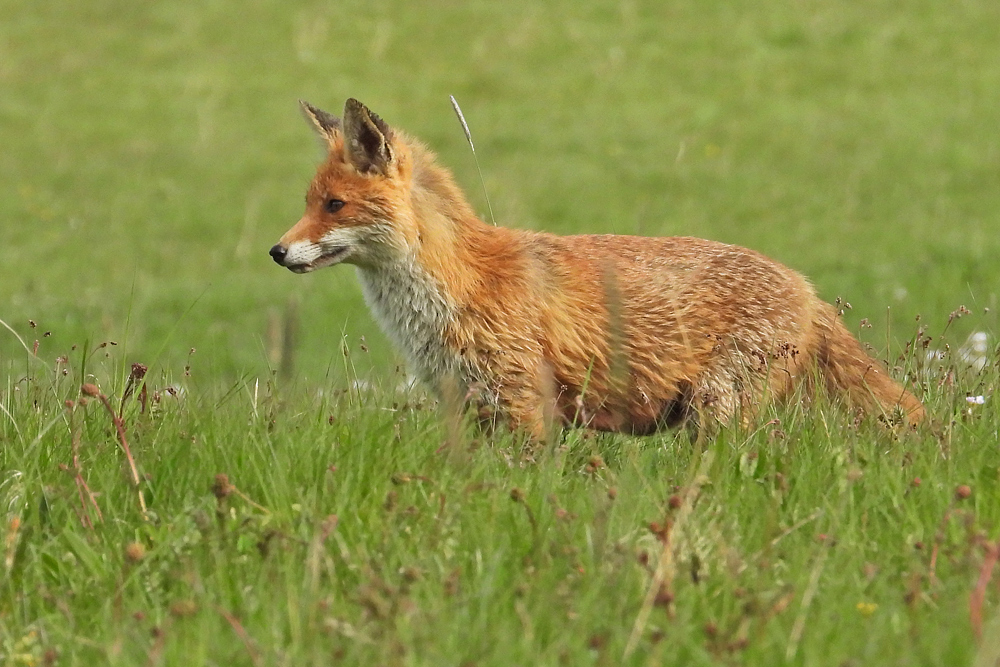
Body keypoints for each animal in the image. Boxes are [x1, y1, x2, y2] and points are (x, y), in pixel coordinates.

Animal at [270, 96, 924, 436]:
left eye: (334, 206)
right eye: (306, 204)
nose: (276, 252)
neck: (457, 283)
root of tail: (808, 288)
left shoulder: (524, 402)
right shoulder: (467, 404)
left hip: (716, 411)